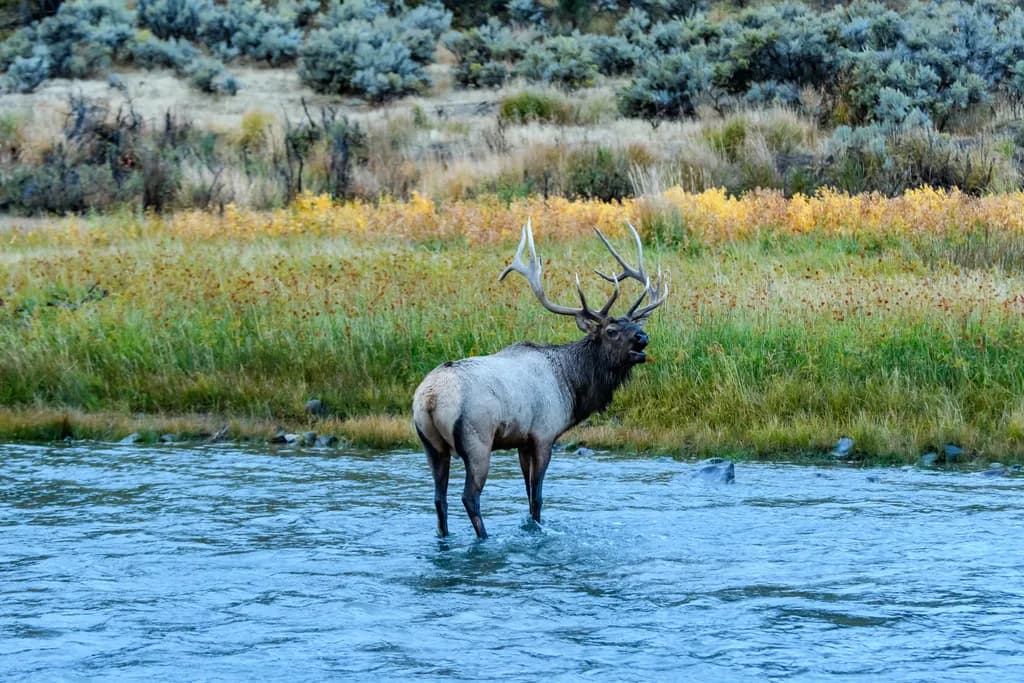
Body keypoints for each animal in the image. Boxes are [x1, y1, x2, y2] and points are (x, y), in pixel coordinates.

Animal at [412, 219, 668, 539]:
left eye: (635, 324)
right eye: (611, 331)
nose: (643, 338)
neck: (572, 388)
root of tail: (430, 398)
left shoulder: (522, 440)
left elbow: (526, 492)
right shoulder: (544, 434)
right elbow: (538, 496)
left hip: (430, 444)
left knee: (439, 498)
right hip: (477, 439)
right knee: (469, 496)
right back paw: (485, 538)